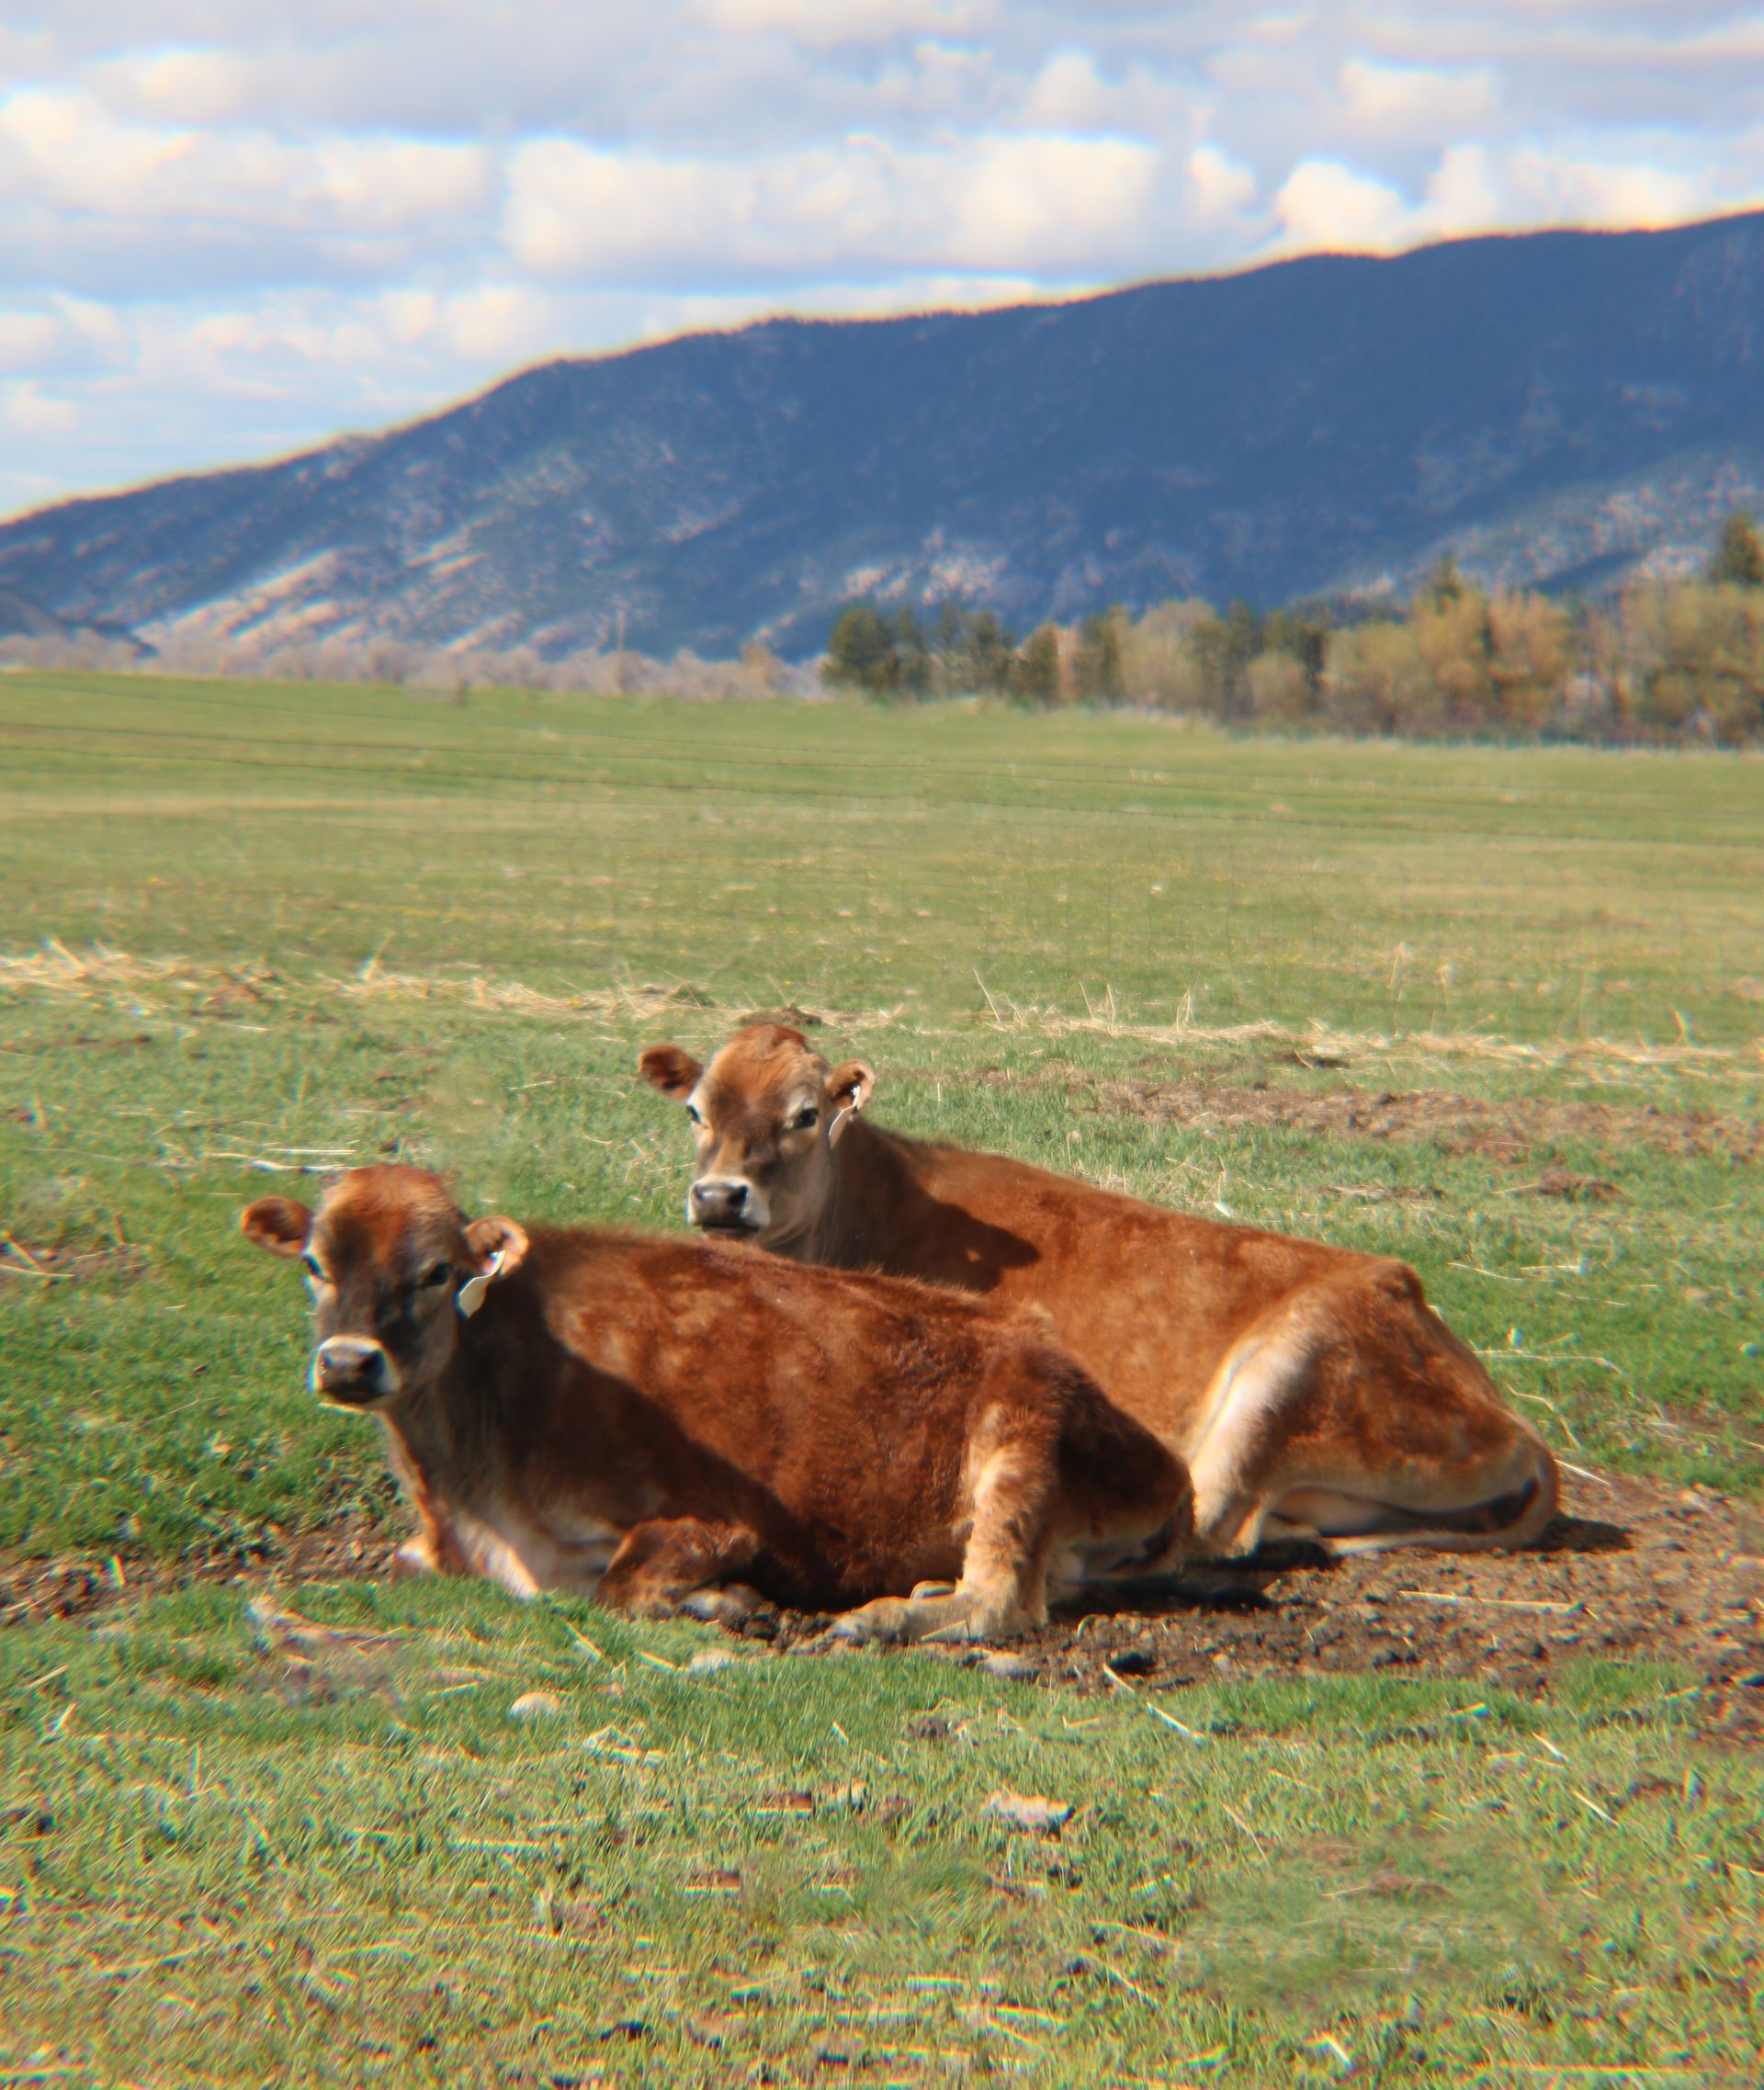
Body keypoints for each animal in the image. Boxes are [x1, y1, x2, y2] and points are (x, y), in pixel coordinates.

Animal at [240, 1165, 1192, 1642]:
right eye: (315, 1263)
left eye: (437, 1270)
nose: (349, 1362)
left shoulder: (717, 1520)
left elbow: (618, 1584)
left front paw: (732, 1602)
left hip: (1019, 1429)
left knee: (1001, 1601)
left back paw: (877, 1618)